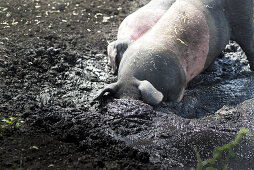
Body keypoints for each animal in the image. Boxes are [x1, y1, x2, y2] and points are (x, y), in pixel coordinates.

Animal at [96, 0, 254, 105]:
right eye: (119, 96)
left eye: (140, 98)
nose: (128, 102)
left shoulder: (179, 84)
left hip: (244, 21)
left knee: (249, 45)